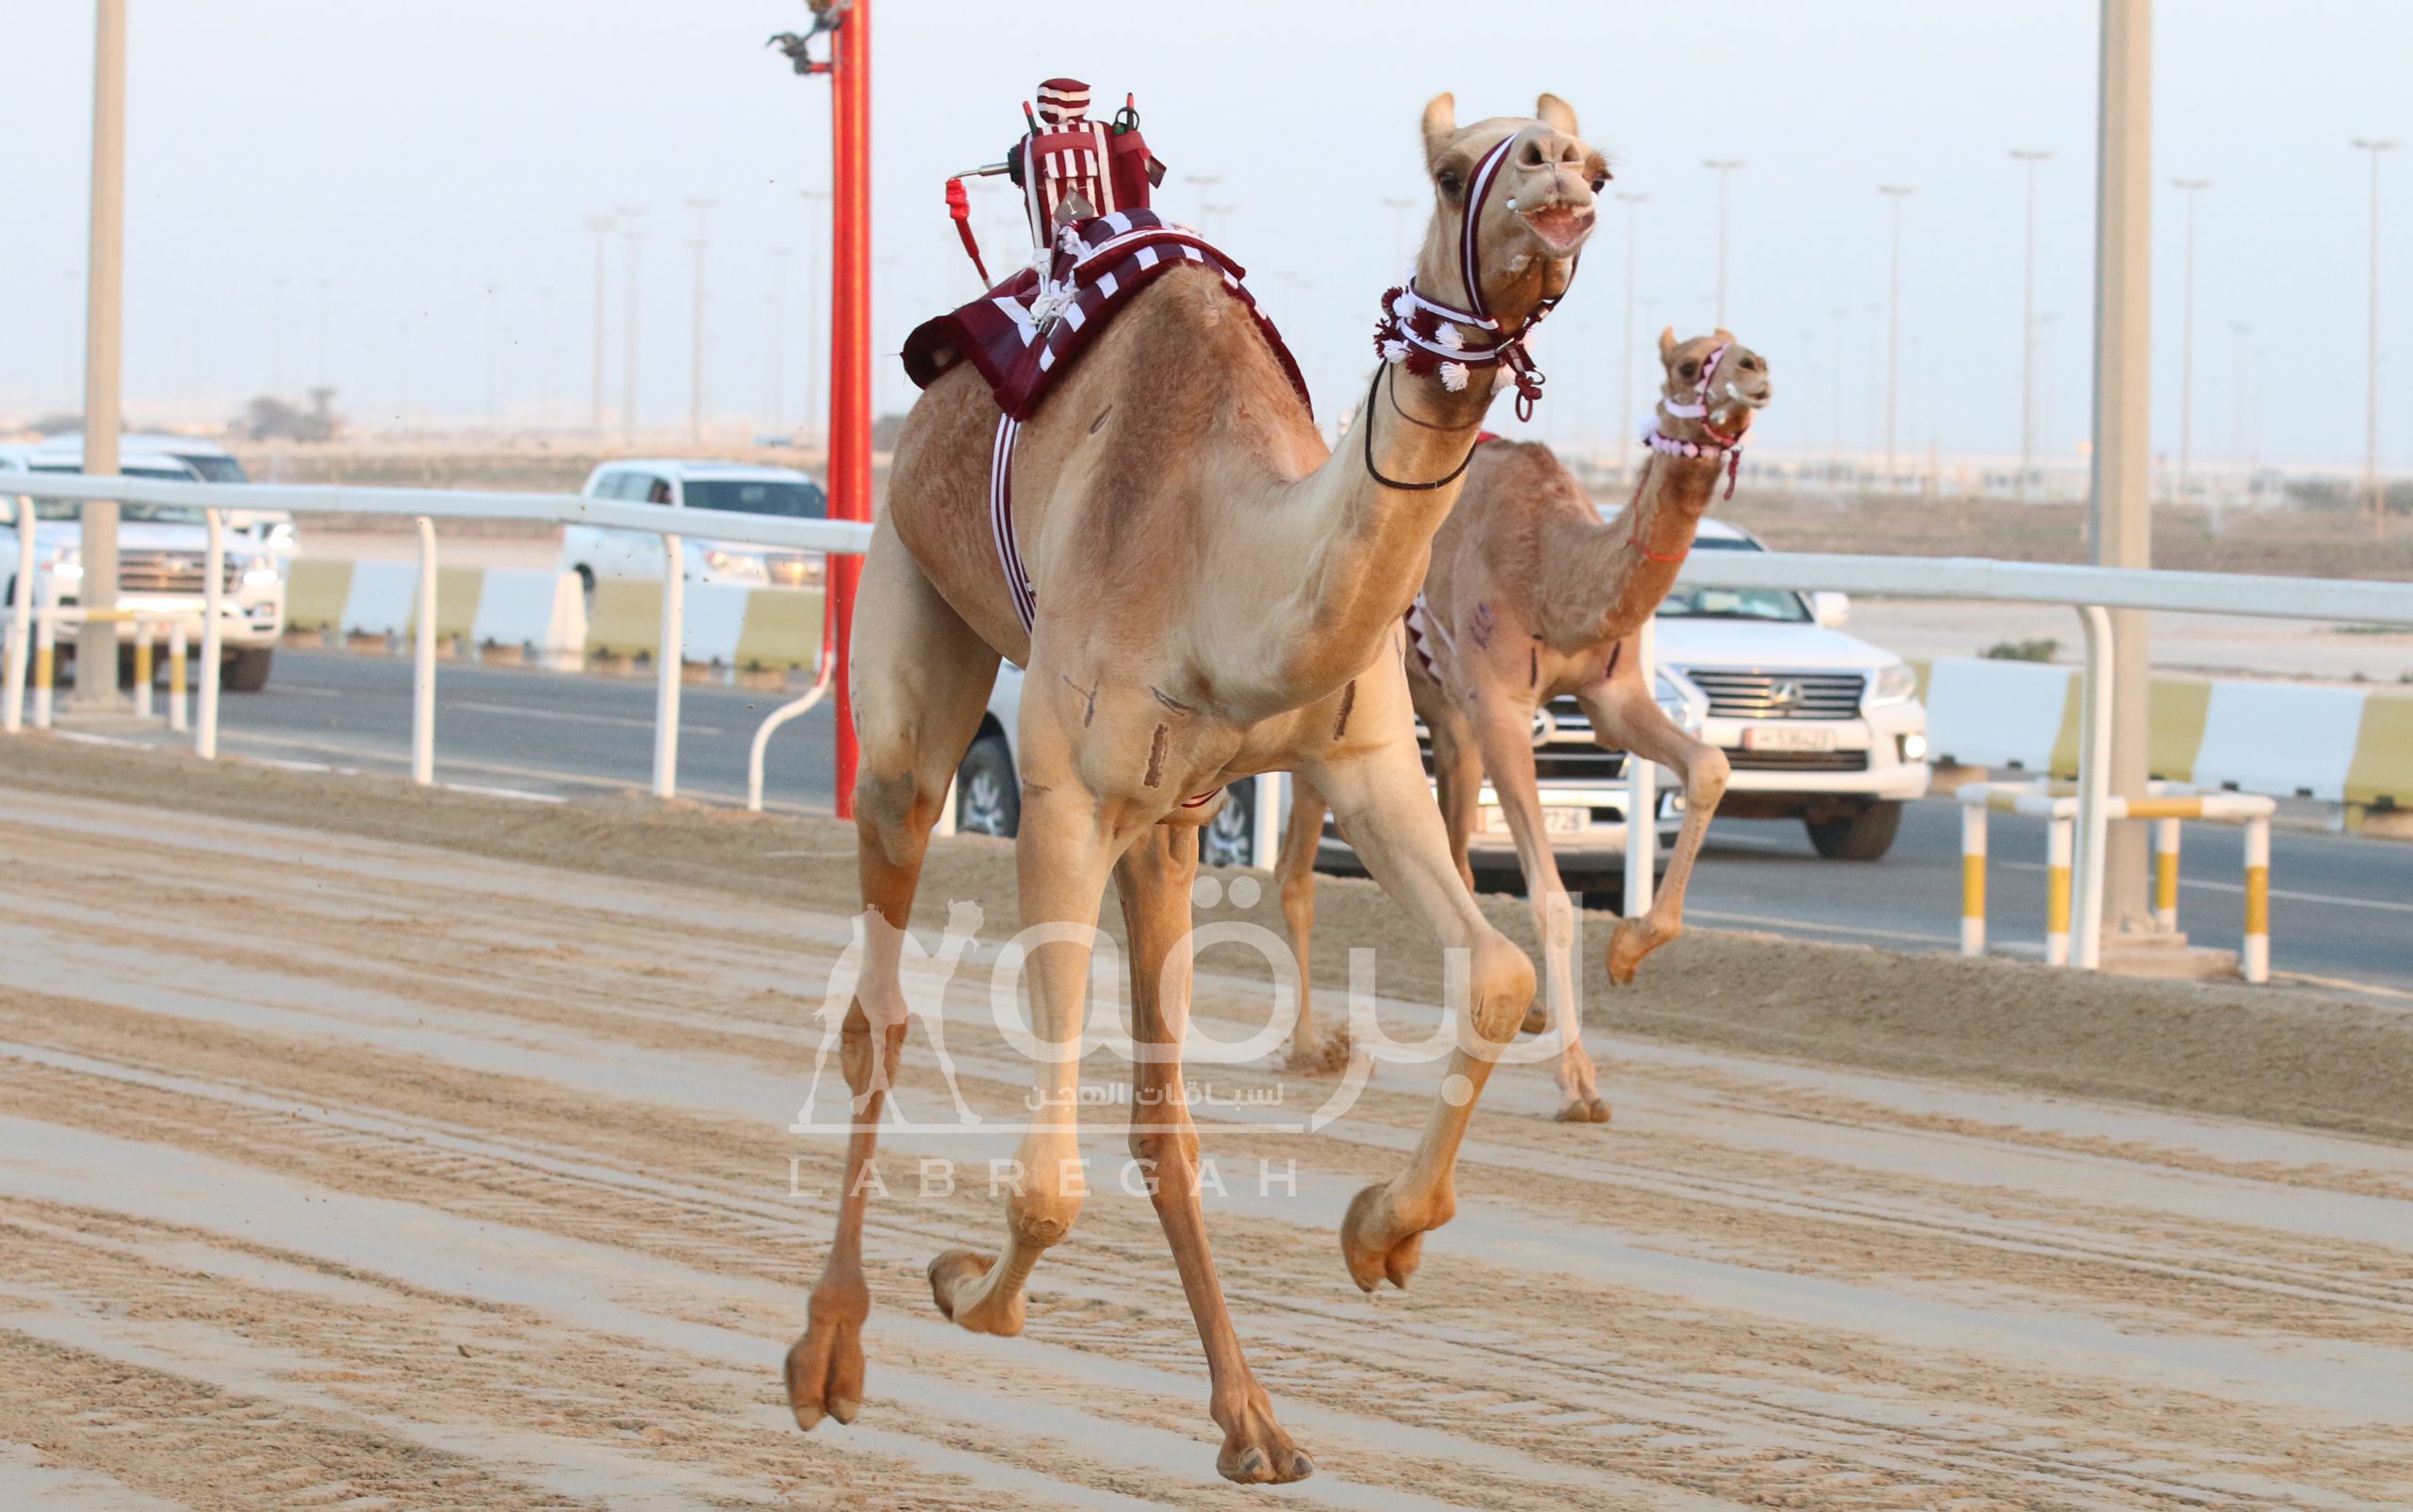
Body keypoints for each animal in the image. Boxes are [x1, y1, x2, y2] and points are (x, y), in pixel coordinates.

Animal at [777, 89, 1601, 1485]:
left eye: (1595, 163)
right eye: (1450, 173)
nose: (1555, 182)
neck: (1225, 565)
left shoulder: (1359, 759)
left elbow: (1495, 972)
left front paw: (1381, 1231)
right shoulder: (1061, 797)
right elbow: (1044, 1182)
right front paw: (963, 1286)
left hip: (1170, 825)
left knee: (1162, 1109)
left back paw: (1252, 1417)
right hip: (908, 606)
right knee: (878, 989)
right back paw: (829, 1352)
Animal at [1283, 330, 1776, 1124]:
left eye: (1737, 348)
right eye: (1687, 363)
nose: (1756, 373)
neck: (1553, 576)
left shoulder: (1611, 696)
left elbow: (1710, 766)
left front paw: (1628, 951)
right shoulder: (1501, 709)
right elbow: (1549, 898)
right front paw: (1579, 1083)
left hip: (1440, 721)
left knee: (1447, 854)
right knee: (1294, 873)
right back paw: (1307, 1047)